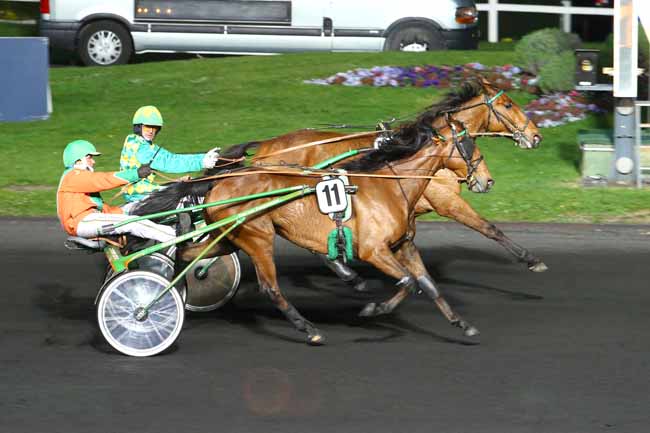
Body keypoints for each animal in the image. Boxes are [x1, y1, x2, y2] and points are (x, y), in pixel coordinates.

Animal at [173, 119, 487, 344]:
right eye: (469, 145)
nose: (486, 179)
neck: (390, 185)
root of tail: (221, 183)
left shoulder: (403, 246)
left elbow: (429, 284)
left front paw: (463, 324)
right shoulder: (374, 251)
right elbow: (409, 282)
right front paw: (374, 309)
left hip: (230, 237)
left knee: (186, 253)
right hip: (257, 236)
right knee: (270, 287)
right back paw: (308, 328)